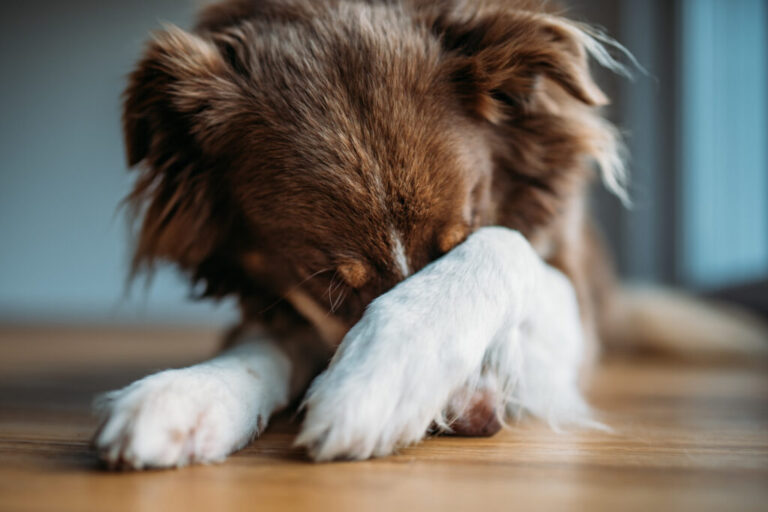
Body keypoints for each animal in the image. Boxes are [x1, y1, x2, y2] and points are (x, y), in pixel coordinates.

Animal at [93, 0, 764, 468]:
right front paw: (187, 395)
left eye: (458, 238)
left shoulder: (573, 308)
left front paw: (384, 375)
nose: (475, 420)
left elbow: (505, 246)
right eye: (330, 285)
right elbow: (264, 341)